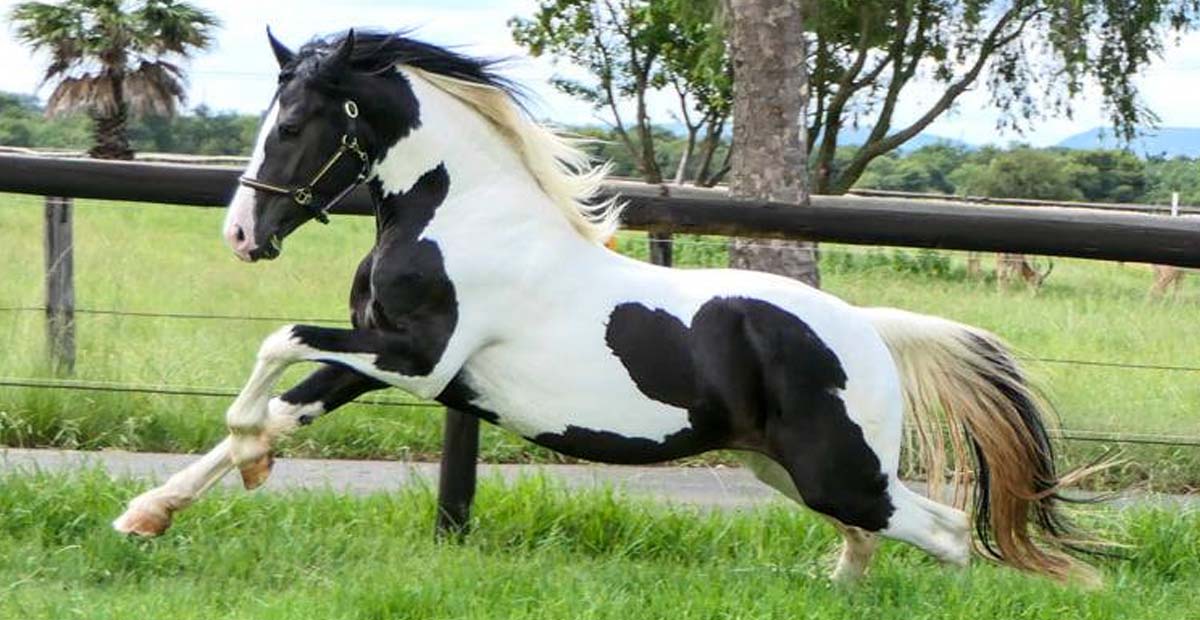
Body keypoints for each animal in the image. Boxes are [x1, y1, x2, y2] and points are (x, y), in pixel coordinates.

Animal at [112, 27, 1099, 580]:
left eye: (290, 125)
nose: (243, 234)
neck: (461, 213)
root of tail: (872, 332)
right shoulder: (384, 355)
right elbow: (285, 404)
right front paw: (153, 512)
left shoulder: (416, 360)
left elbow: (276, 345)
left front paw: (244, 462)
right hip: (783, 468)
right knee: (871, 543)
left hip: (838, 471)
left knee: (948, 532)